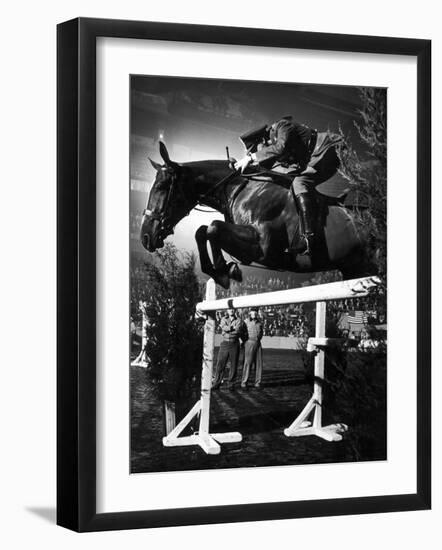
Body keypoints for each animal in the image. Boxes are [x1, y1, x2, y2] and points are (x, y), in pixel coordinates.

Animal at [140, 142, 374, 288]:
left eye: (161, 187)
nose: (145, 237)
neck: (239, 188)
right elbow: (202, 231)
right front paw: (219, 270)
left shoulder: (263, 248)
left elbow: (213, 227)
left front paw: (225, 271)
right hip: (353, 269)